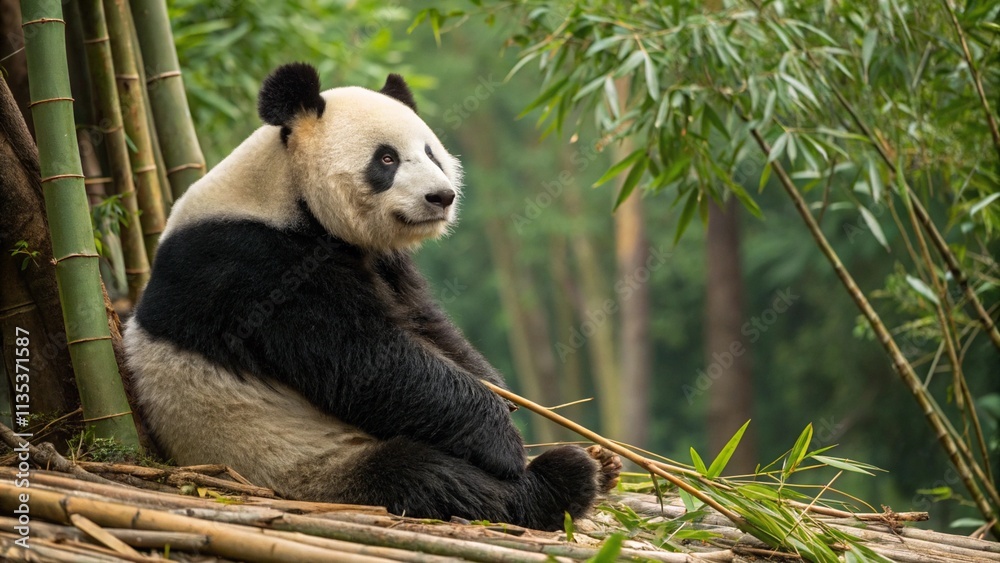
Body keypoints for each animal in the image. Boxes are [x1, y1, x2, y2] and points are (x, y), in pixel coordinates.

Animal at [124, 62, 621, 531]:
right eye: (386, 159)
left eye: (431, 153)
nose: (441, 197)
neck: (284, 191)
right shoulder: (256, 267)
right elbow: (366, 360)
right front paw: (502, 438)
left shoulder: (384, 262)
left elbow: (429, 326)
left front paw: (505, 399)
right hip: (299, 462)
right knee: (426, 478)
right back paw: (562, 480)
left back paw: (603, 466)